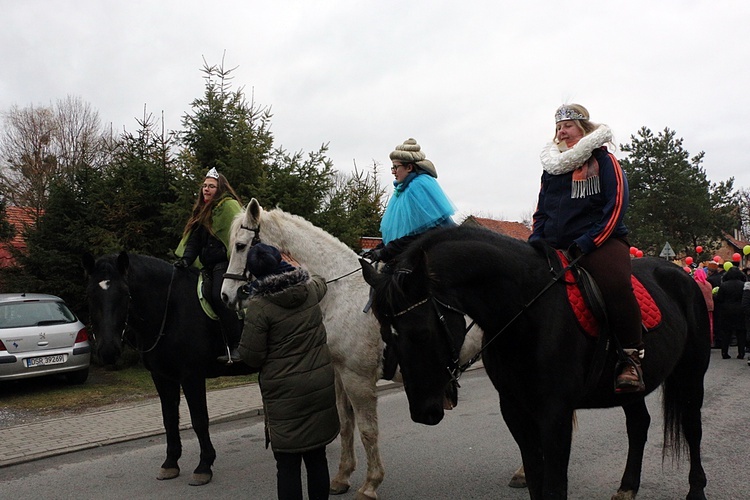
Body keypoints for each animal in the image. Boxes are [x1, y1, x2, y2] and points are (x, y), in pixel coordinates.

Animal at [83, 252, 256, 486]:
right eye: (90, 294)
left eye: (124, 293)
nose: (108, 350)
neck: (171, 309)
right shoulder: (162, 377)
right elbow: (169, 419)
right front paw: (170, 463)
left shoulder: (192, 376)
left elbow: (199, 420)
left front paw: (204, 466)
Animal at [362, 228, 712, 500]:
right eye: (385, 334)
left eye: (420, 333)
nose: (424, 413)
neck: (525, 311)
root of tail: (681, 275)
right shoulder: (514, 409)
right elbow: (534, 479)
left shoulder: (555, 413)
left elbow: (554, 486)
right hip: (630, 388)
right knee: (638, 425)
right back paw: (628, 487)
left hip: (691, 373)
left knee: (693, 428)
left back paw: (696, 489)